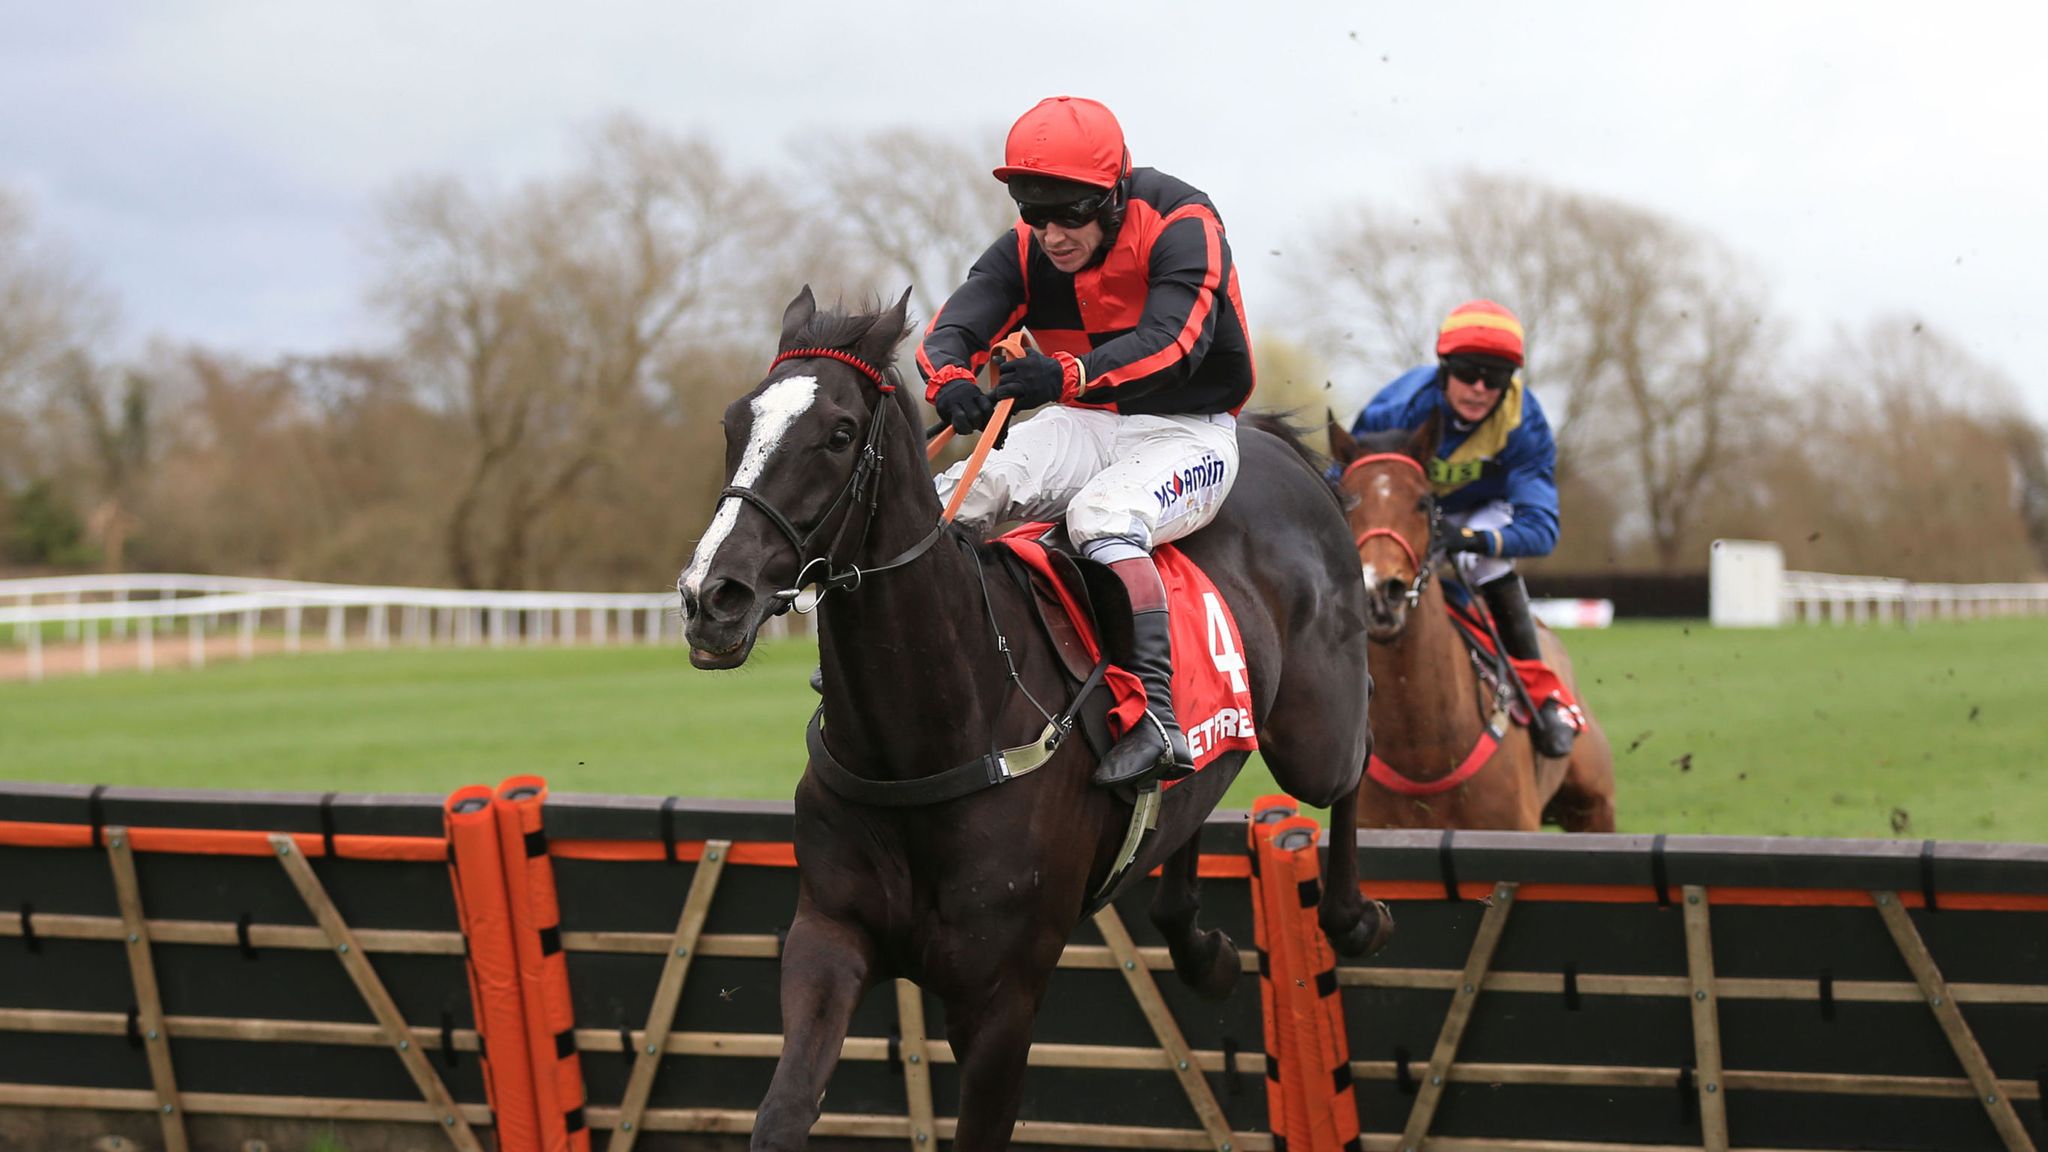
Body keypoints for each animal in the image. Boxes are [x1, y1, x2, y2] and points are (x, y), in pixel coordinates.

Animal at [684, 282, 1392, 1139]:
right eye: (732, 423)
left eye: (839, 433)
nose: (712, 596)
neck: (930, 740)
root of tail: (1276, 447)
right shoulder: (828, 937)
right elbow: (783, 1111)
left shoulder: (1003, 998)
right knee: (1192, 793)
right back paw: (1198, 941)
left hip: (1312, 730)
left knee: (1352, 755)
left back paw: (1352, 915)